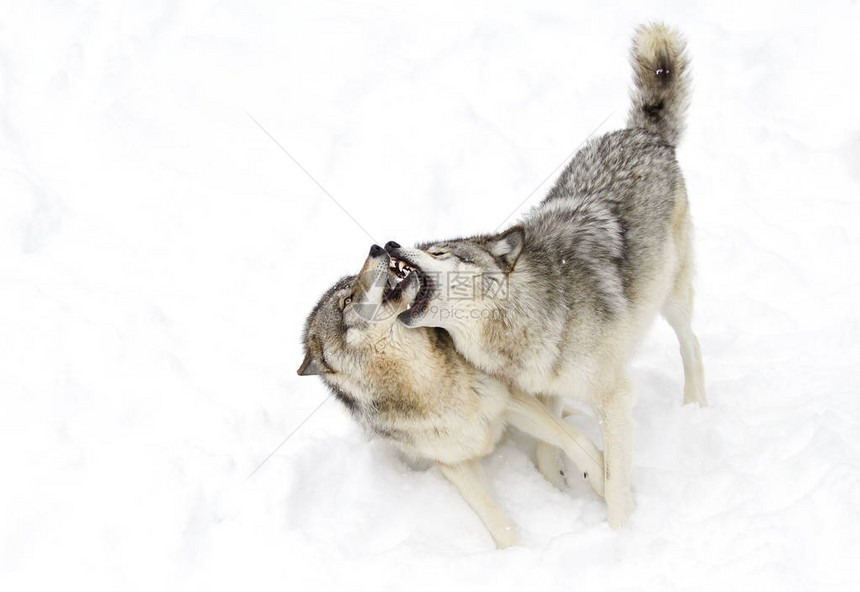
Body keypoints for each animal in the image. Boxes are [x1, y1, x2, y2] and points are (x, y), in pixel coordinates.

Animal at [298, 244, 608, 544]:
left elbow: (576, 439)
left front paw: (604, 481)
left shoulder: (509, 401)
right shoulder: (454, 464)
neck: (427, 380)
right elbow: (494, 518)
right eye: (347, 301)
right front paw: (516, 552)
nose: (376, 248)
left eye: (351, 283)